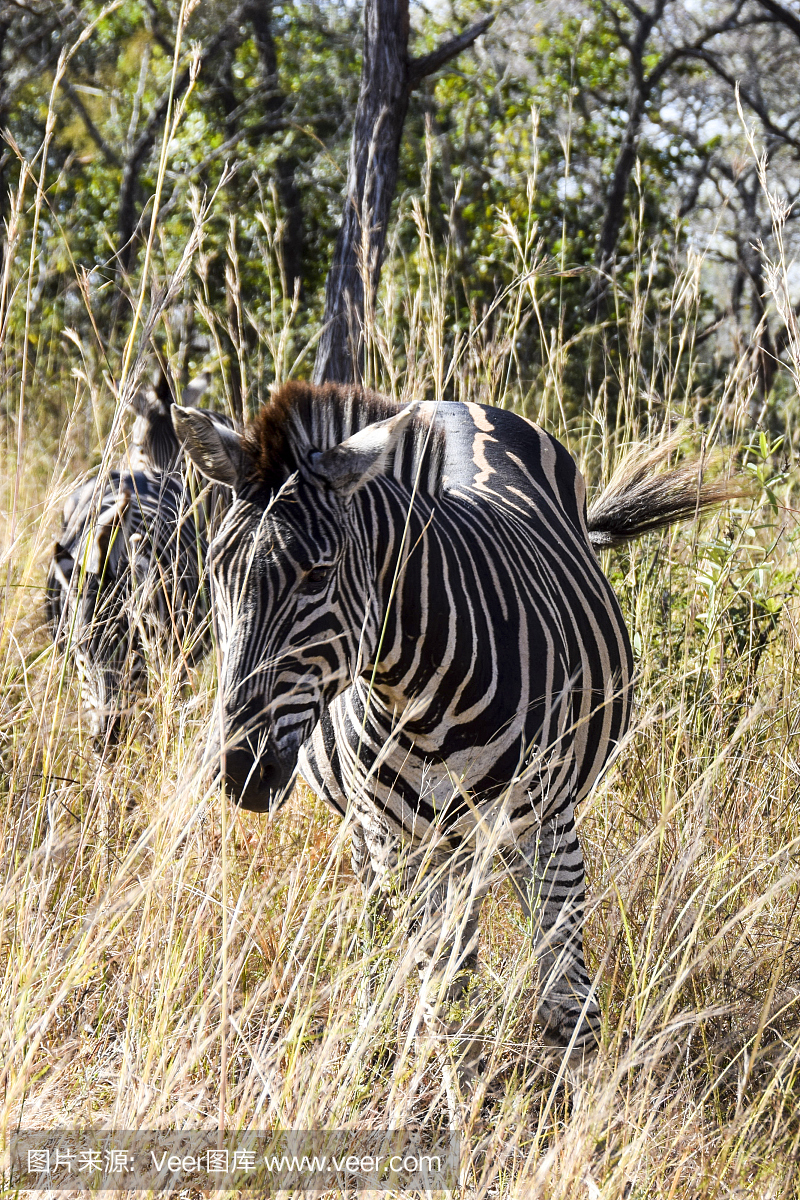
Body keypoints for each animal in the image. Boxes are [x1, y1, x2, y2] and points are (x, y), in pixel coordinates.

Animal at [172, 381, 743, 1080]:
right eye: (216, 572)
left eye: (319, 574)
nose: (241, 769)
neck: (423, 697)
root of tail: (449, 402)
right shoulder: (395, 839)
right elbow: (438, 993)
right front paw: (444, 1088)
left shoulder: (549, 821)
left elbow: (566, 1001)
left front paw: (575, 1100)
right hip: (395, 835)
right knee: (407, 938)